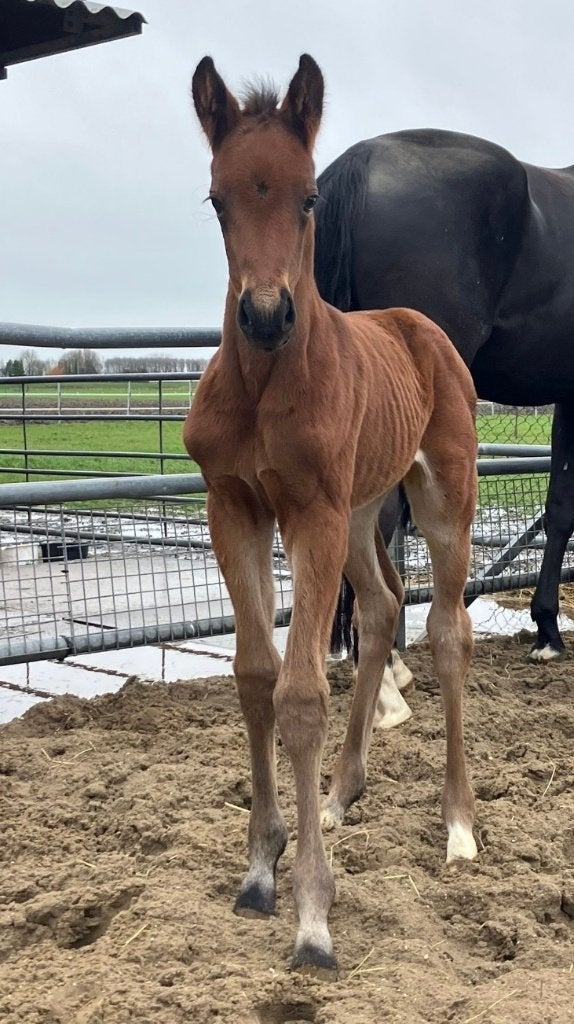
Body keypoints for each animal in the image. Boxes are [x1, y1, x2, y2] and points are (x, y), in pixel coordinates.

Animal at [184, 54, 478, 976]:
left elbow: (304, 691)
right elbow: (255, 675)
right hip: (357, 514)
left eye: (310, 196)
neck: (265, 384)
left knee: (448, 632)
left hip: (441, 500)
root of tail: (419, 326)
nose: (265, 315)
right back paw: (344, 793)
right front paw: (260, 867)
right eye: (219, 197)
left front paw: (313, 915)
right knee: (382, 609)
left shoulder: (306, 513)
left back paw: (459, 826)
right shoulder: (235, 508)